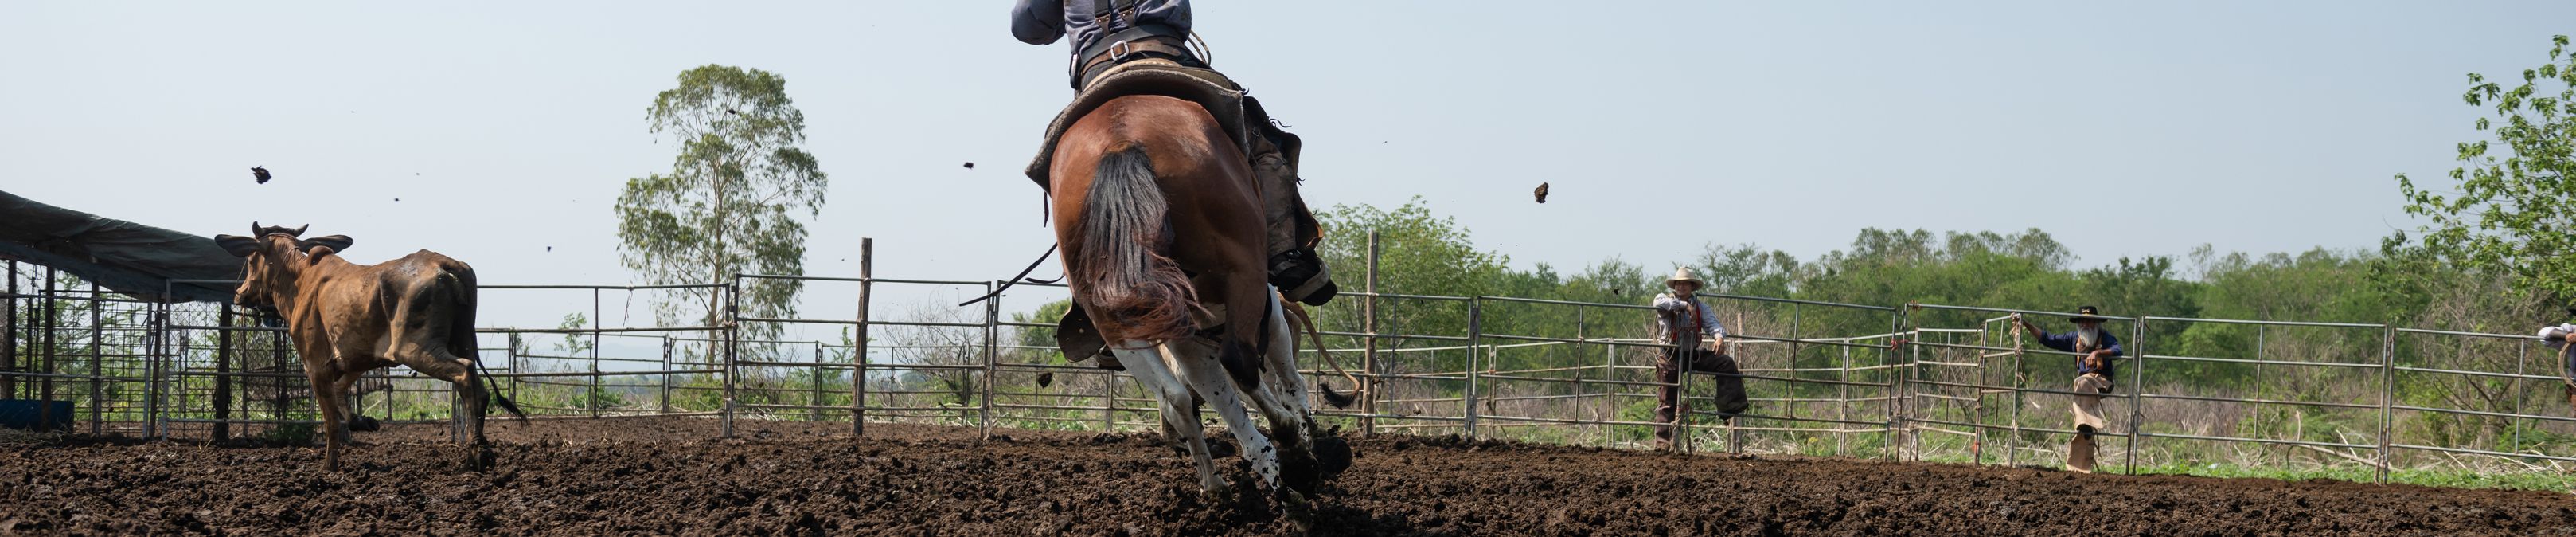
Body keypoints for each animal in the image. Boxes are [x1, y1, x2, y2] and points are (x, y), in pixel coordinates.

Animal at [213, 223, 523, 471]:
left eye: (251, 259)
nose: (240, 293)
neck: (299, 282)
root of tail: (447, 267)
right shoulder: (357, 359)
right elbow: (342, 394)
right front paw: (362, 422)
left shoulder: (316, 366)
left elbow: (330, 419)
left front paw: (329, 465)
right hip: (462, 341)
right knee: (478, 387)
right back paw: (477, 452)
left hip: (415, 349)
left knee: (465, 374)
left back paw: (478, 454)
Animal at [1049, 94, 1343, 499]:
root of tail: (1120, 144)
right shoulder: (1267, 310)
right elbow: (1288, 384)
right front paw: (1303, 439)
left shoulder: (1188, 340)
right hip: (1243, 276)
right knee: (1240, 364)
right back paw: (1290, 451)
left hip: (1119, 324)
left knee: (1176, 397)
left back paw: (1223, 479)